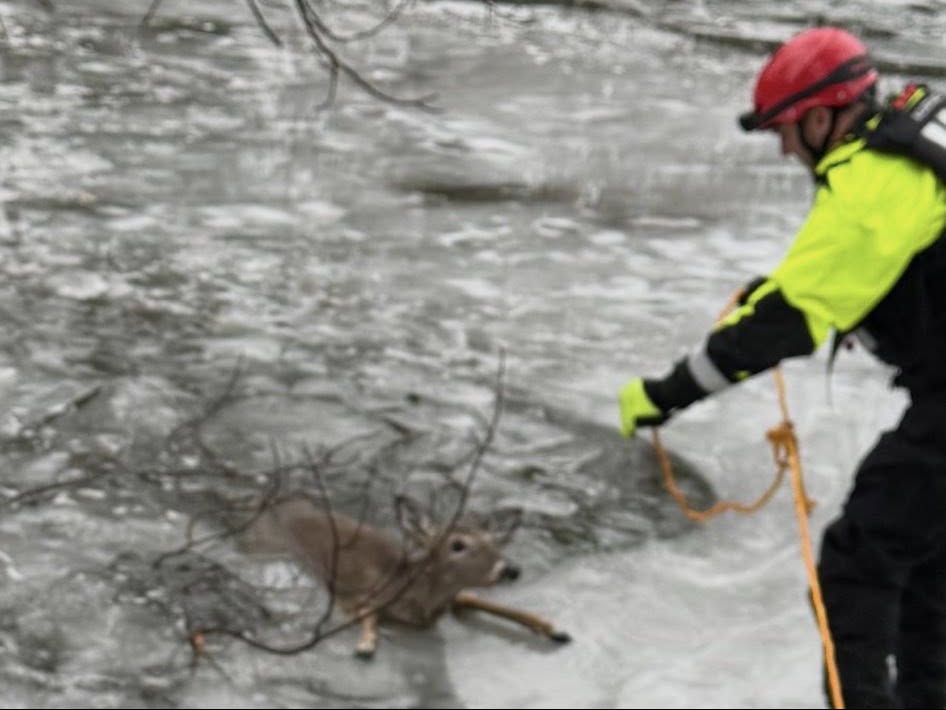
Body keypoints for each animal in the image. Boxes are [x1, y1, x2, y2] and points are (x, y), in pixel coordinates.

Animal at [243, 493, 571, 658]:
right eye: (457, 545)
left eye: (495, 542)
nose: (510, 569)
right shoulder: (355, 594)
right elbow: (366, 610)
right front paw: (365, 644)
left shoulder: (456, 596)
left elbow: (476, 599)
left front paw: (554, 628)